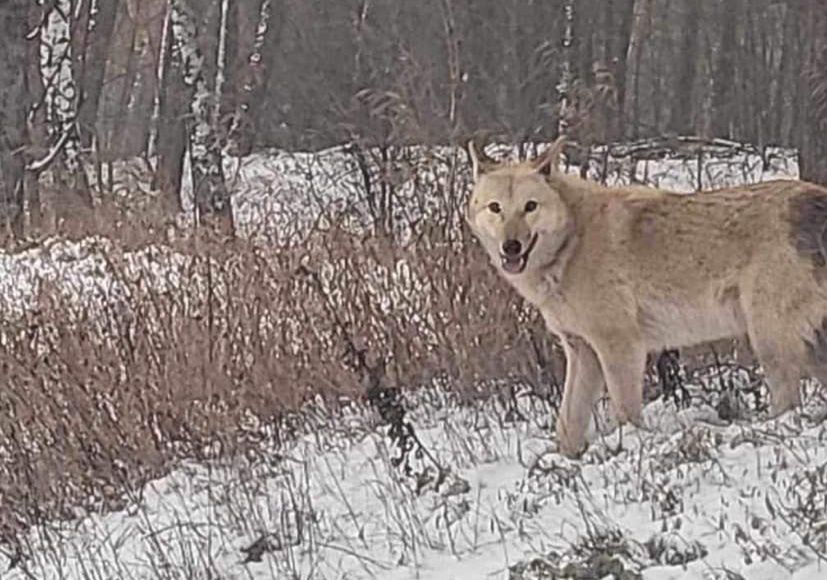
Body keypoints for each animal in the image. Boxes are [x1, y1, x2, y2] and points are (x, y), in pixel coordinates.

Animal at [468, 137, 827, 458]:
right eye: (496, 208)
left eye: (530, 207)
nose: (511, 246)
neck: (572, 243)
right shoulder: (582, 352)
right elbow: (567, 426)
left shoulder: (621, 347)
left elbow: (626, 414)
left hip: (769, 343)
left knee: (787, 404)